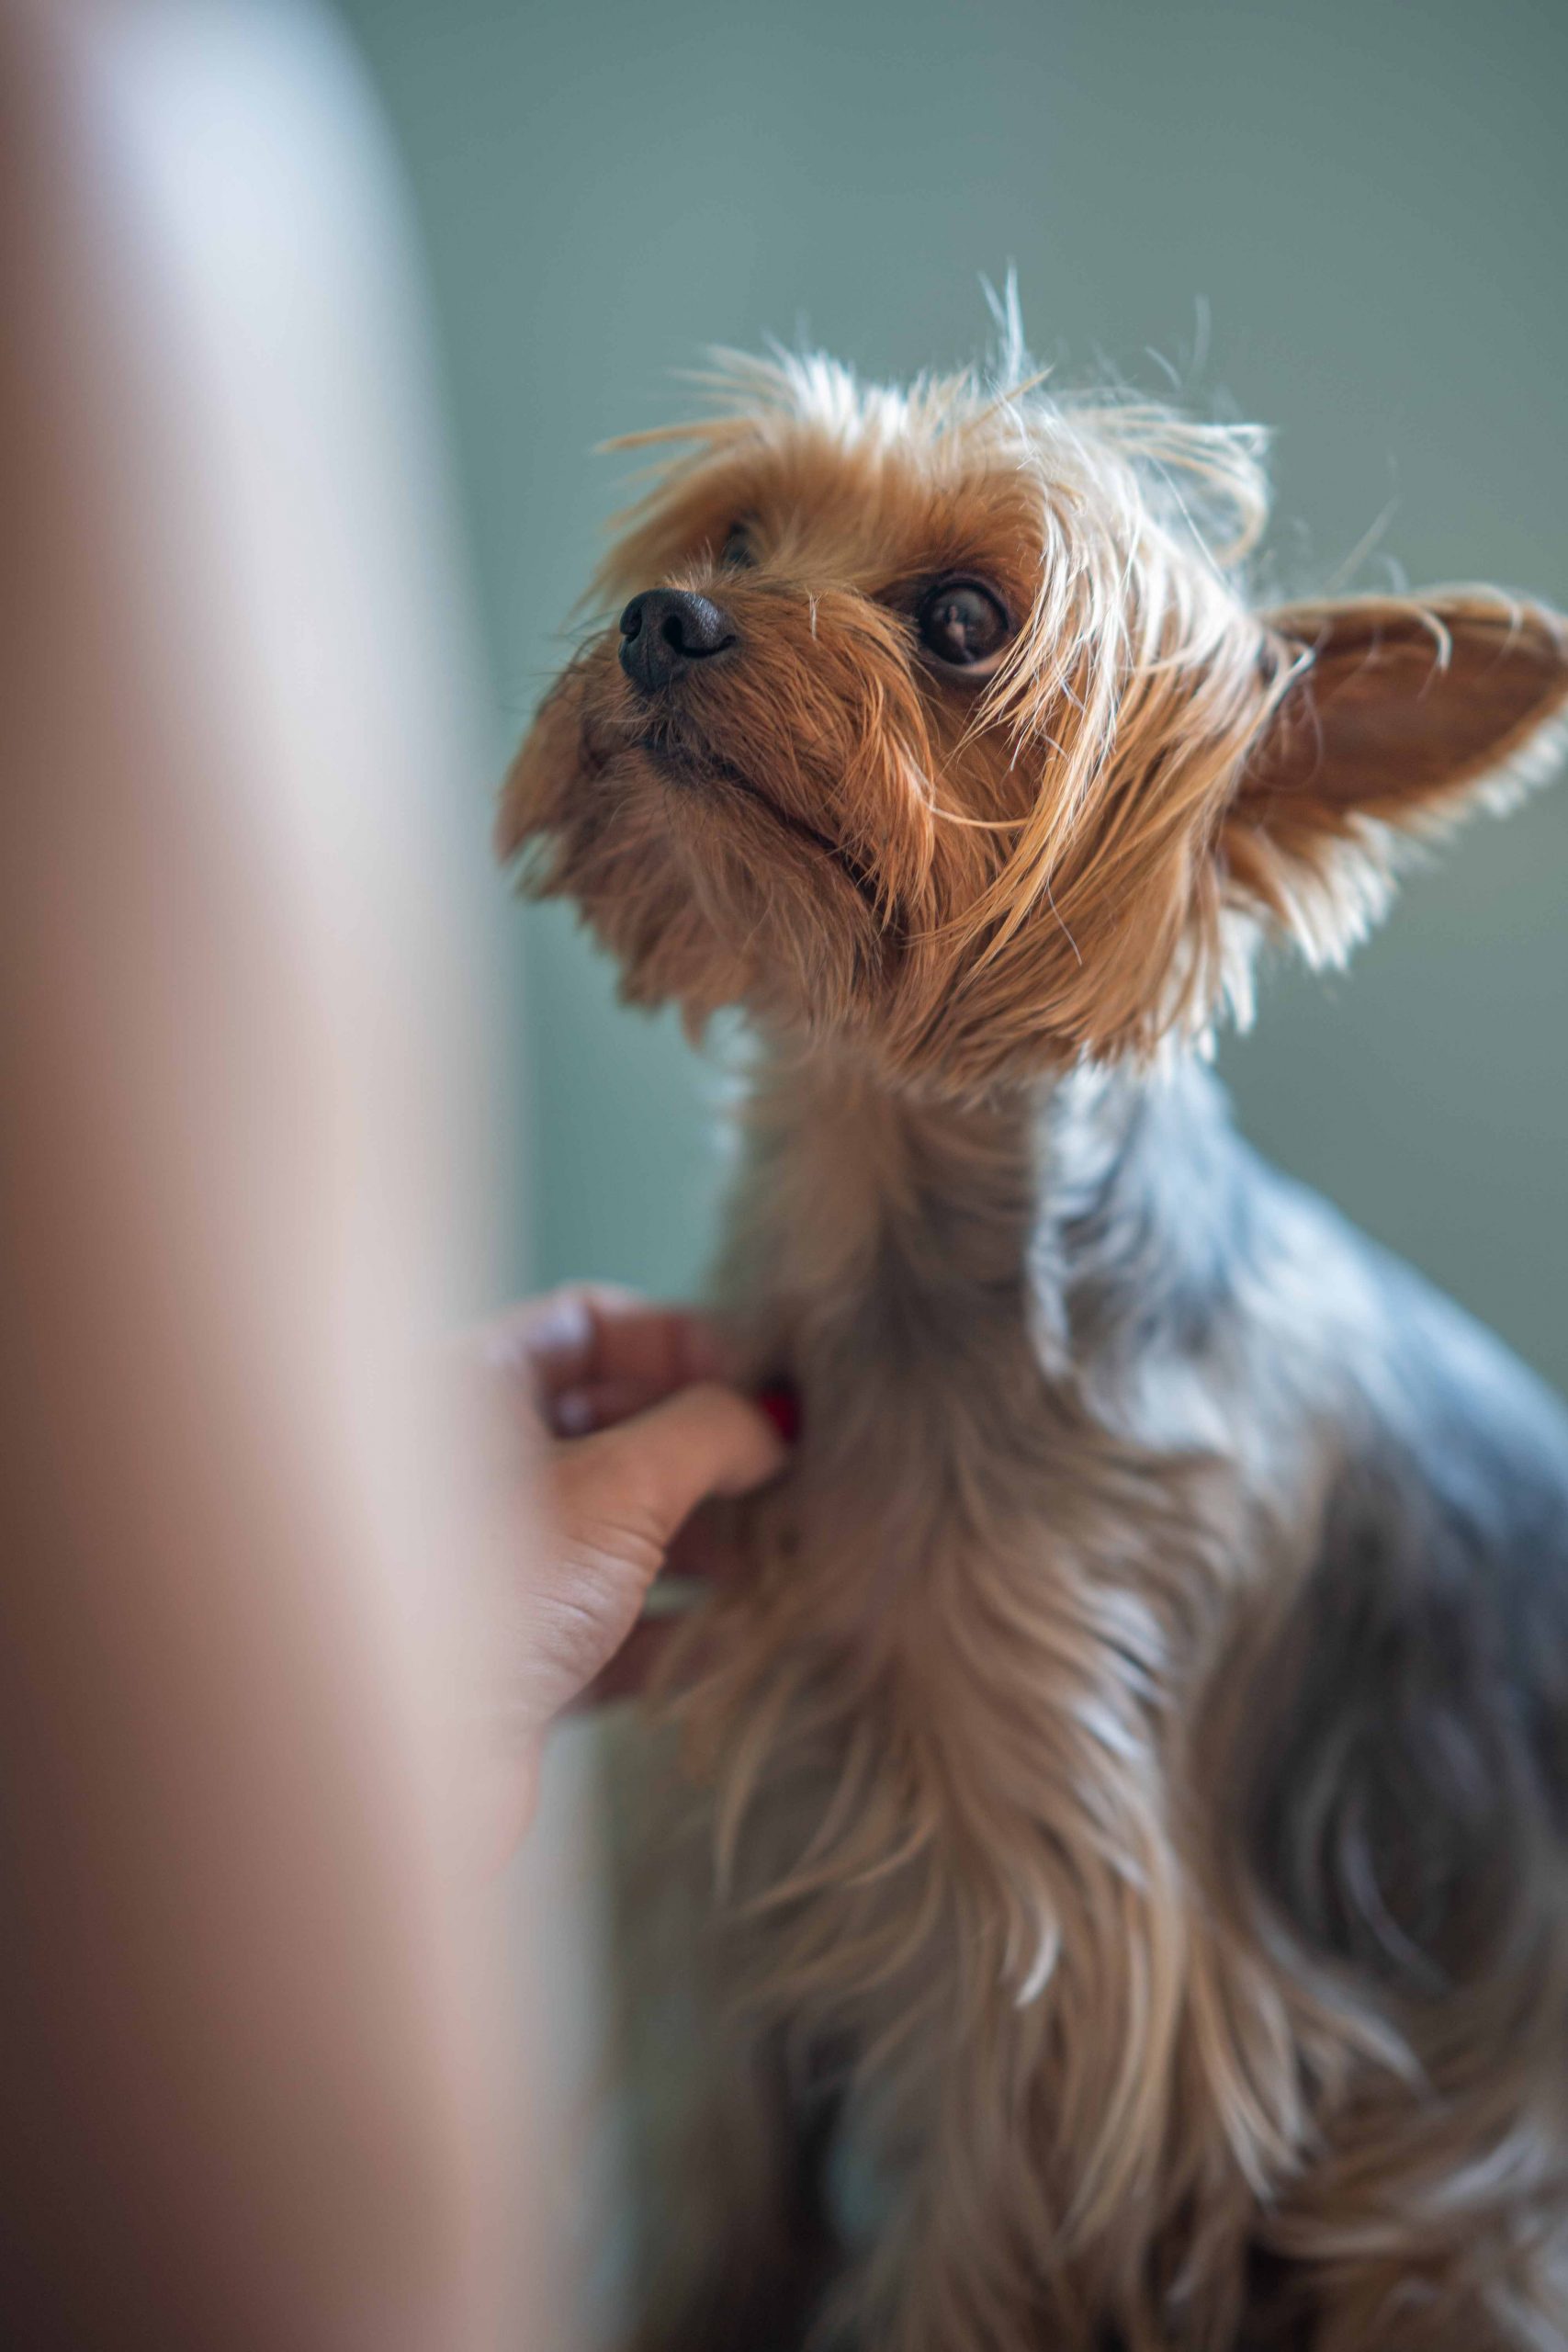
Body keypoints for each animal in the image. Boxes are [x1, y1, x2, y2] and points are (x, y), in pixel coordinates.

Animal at [501, 326, 1568, 2352]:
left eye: (965, 621)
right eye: (736, 534)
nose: (665, 621)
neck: (876, 1208)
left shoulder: (1068, 1971)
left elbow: (962, 2248)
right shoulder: (721, 1834)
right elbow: (713, 2202)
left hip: (1461, 2215)